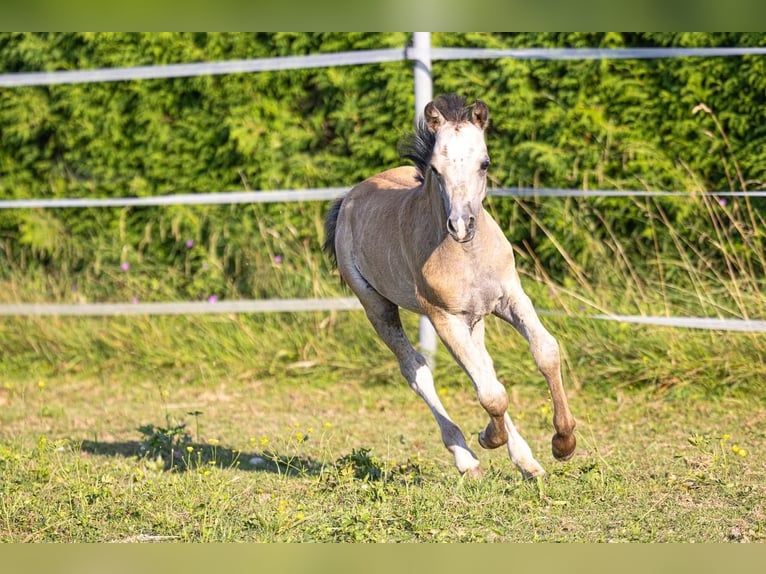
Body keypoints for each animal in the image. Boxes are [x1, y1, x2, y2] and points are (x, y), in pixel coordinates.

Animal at [324, 95, 576, 482]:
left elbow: (544, 351)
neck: (468, 255)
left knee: (485, 367)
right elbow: (490, 393)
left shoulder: (510, 298)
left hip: (475, 318)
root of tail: (350, 197)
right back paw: (467, 458)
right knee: (417, 371)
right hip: (379, 308)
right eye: (436, 169)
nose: (460, 225)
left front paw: (563, 443)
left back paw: (526, 462)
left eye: (485, 163)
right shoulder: (444, 318)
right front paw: (488, 438)